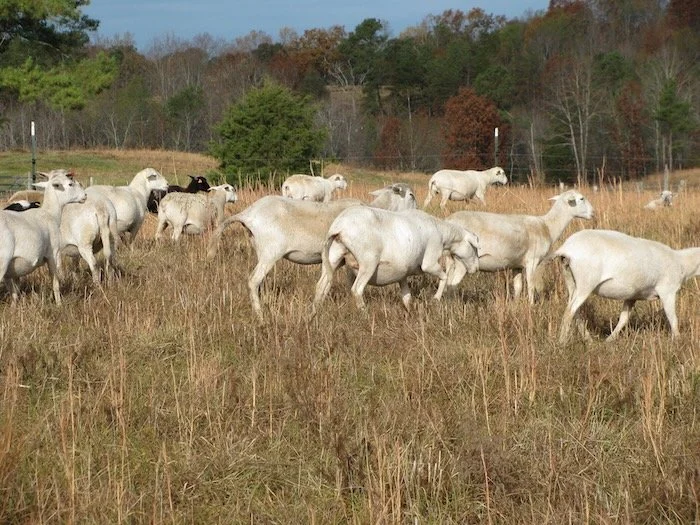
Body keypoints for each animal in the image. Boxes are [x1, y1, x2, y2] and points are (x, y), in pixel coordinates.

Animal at [0, 171, 87, 304]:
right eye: (70, 184)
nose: (85, 196)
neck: (50, 213)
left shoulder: (12, 271)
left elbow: (14, 291)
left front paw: (14, 307)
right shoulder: (53, 254)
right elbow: (55, 282)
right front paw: (59, 304)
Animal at [313, 207, 480, 310]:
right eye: (474, 247)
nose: (476, 268)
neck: (443, 233)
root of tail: (339, 227)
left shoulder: (402, 274)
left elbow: (407, 297)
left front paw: (410, 312)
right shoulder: (430, 262)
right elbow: (444, 277)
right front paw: (437, 298)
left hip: (334, 257)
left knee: (321, 286)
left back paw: (315, 312)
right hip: (368, 262)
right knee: (356, 289)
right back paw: (364, 313)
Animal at [446, 190, 594, 304]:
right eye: (581, 198)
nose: (593, 213)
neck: (547, 226)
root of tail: (448, 220)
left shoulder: (516, 265)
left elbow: (518, 286)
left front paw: (516, 305)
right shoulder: (532, 261)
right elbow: (530, 286)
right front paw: (531, 306)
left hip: (450, 259)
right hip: (462, 260)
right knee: (452, 285)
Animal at [554, 229, 700, 343]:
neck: (682, 263)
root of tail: (566, 248)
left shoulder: (632, 296)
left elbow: (623, 319)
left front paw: (609, 340)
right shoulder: (667, 291)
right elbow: (673, 318)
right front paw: (678, 340)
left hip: (571, 280)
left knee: (574, 310)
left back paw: (588, 339)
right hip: (586, 282)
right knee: (569, 311)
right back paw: (562, 342)